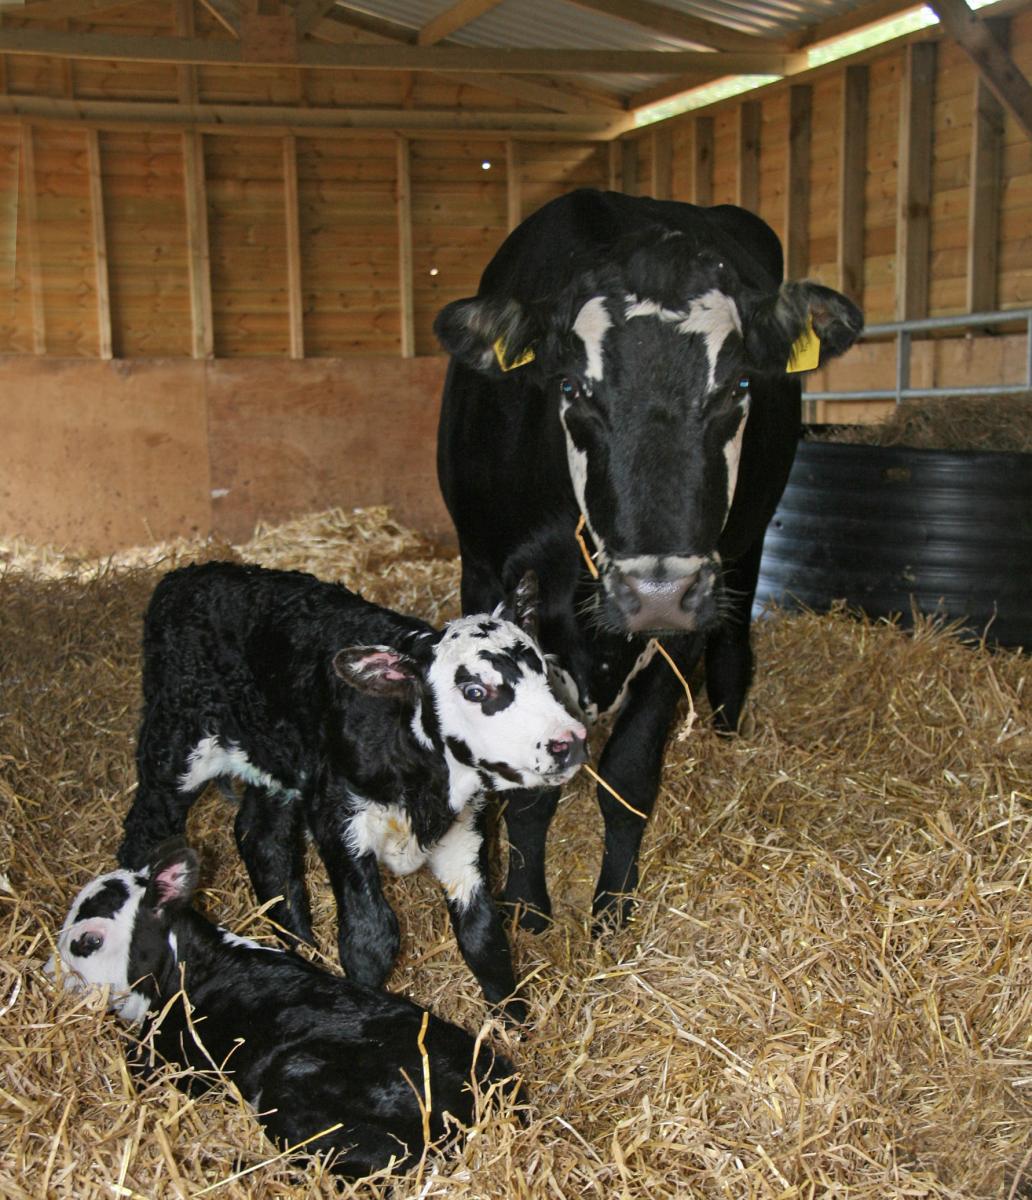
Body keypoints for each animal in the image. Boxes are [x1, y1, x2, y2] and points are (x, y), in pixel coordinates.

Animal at [117, 561, 585, 1022]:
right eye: (474, 690)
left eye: (544, 674)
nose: (569, 741)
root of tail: (184, 575)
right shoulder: (337, 817)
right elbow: (371, 936)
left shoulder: (464, 831)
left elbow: (483, 934)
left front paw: (514, 1024)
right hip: (177, 739)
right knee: (145, 830)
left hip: (277, 760)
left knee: (262, 839)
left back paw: (301, 947)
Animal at [434, 187, 864, 931]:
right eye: (572, 387)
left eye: (739, 385)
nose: (657, 593)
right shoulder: (485, 573)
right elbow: (528, 782)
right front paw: (526, 907)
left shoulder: (684, 620)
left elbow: (630, 775)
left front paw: (612, 907)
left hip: (742, 553)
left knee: (734, 647)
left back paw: (727, 730)